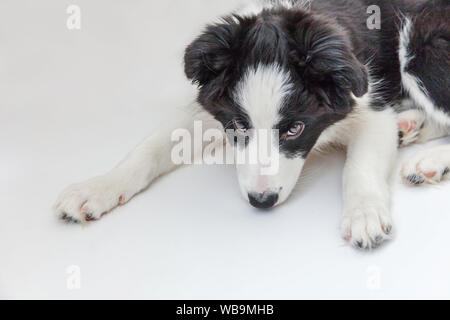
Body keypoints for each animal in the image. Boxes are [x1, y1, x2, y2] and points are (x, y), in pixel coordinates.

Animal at [54, 0, 448, 250]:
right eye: (239, 126)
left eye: (294, 129)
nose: (262, 201)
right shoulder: (209, 108)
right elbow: (149, 147)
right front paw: (98, 187)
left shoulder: (372, 105)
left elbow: (359, 168)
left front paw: (364, 214)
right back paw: (410, 127)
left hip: (420, 40)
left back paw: (429, 160)